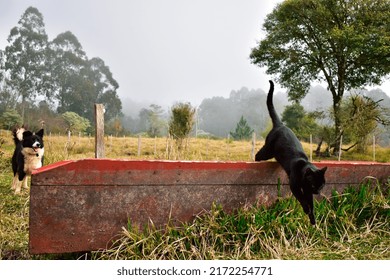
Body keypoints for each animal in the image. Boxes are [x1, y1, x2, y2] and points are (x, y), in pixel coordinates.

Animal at [254, 80, 328, 224]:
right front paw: (306, 209)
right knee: (258, 155)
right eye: (314, 184)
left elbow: (311, 203)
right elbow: (302, 199)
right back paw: (254, 161)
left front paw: (312, 219)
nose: (318, 191)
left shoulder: (307, 191)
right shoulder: (294, 186)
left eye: (322, 185)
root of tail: (281, 125)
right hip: (267, 151)